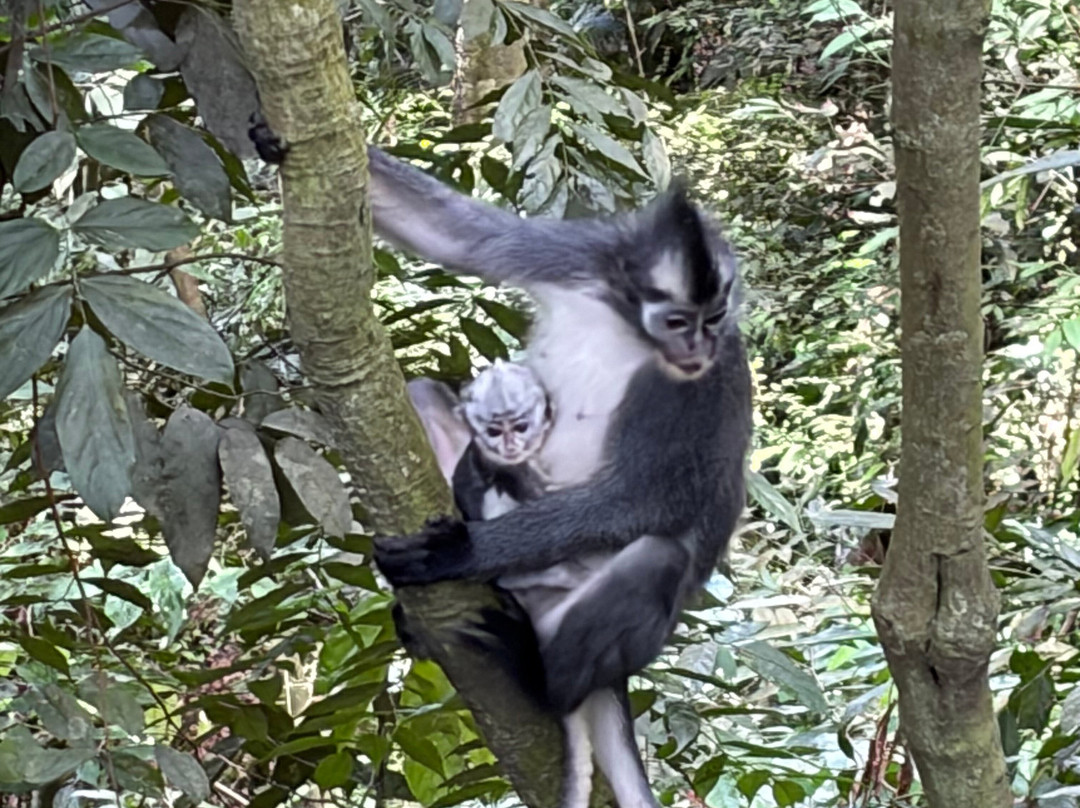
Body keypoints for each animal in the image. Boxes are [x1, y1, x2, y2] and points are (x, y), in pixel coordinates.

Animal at [369, 145, 752, 808]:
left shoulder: (713, 378)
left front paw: (459, 552)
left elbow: (644, 501)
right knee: (418, 392)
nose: (698, 348)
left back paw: (540, 680)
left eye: (715, 317)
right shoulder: (583, 259)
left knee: (658, 555)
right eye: (679, 321)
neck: (628, 322)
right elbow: (457, 236)